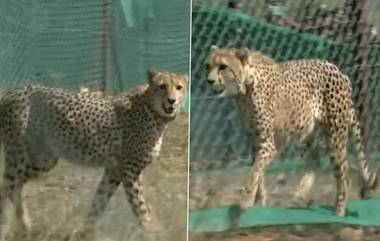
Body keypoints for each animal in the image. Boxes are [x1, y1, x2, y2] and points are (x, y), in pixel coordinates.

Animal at [0, 68, 188, 239]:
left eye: (179, 87)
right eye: (162, 86)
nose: (172, 101)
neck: (153, 110)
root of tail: (12, 92)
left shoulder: (114, 171)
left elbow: (99, 202)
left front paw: (85, 232)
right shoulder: (130, 170)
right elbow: (139, 205)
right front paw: (151, 232)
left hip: (44, 160)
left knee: (15, 186)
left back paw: (25, 225)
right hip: (19, 155)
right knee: (7, 186)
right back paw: (7, 226)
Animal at [205, 45, 378, 217]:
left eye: (223, 67)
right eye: (208, 66)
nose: (209, 80)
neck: (244, 89)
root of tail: (339, 71)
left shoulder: (267, 144)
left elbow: (254, 172)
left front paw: (246, 200)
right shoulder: (255, 142)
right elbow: (258, 173)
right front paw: (259, 203)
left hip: (335, 137)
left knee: (344, 178)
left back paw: (338, 213)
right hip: (306, 133)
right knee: (315, 160)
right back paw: (299, 195)